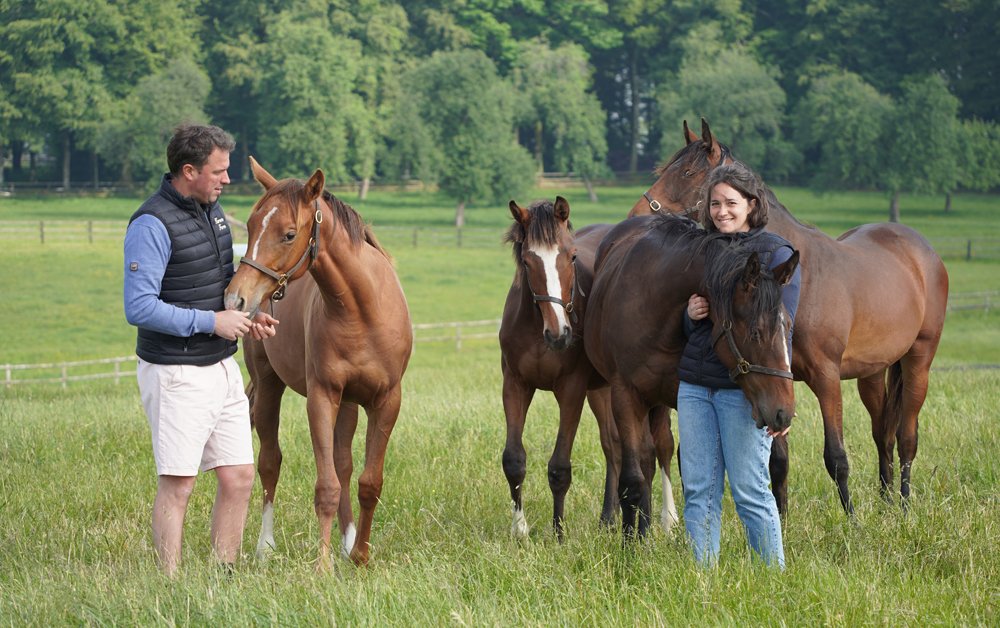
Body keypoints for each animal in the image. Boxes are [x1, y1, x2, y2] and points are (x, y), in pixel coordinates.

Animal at [223, 157, 412, 567]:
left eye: (289, 234)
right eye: (250, 226)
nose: (236, 299)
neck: (362, 311)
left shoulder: (386, 401)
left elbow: (368, 481)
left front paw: (360, 556)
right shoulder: (322, 397)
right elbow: (326, 486)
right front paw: (323, 567)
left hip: (350, 403)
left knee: (343, 464)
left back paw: (347, 540)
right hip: (270, 387)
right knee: (270, 462)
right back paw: (265, 546)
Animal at [501, 197, 678, 540]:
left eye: (571, 256)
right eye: (528, 261)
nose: (559, 334)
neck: (537, 330)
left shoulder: (571, 390)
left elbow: (559, 467)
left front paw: (558, 534)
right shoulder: (515, 385)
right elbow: (513, 460)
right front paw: (520, 530)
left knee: (661, 446)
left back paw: (668, 520)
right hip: (603, 390)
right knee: (615, 446)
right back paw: (609, 518)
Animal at [584, 213, 800, 538]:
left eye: (787, 325)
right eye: (755, 332)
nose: (783, 412)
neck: (652, 301)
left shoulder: (684, 395)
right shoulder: (625, 395)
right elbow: (633, 478)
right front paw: (632, 542)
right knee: (646, 458)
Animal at [632, 119, 949, 513]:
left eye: (688, 173)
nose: (635, 218)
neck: (799, 274)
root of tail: (921, 250)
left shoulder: (826, 377)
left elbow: (836, 457)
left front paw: (851, 520)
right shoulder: (773, 376)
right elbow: (778, 461)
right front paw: (782, 517)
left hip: (918, 360)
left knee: (906, 436)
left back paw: (904, 506)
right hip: (872, 374)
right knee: (883, 434)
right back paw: (887, 503)